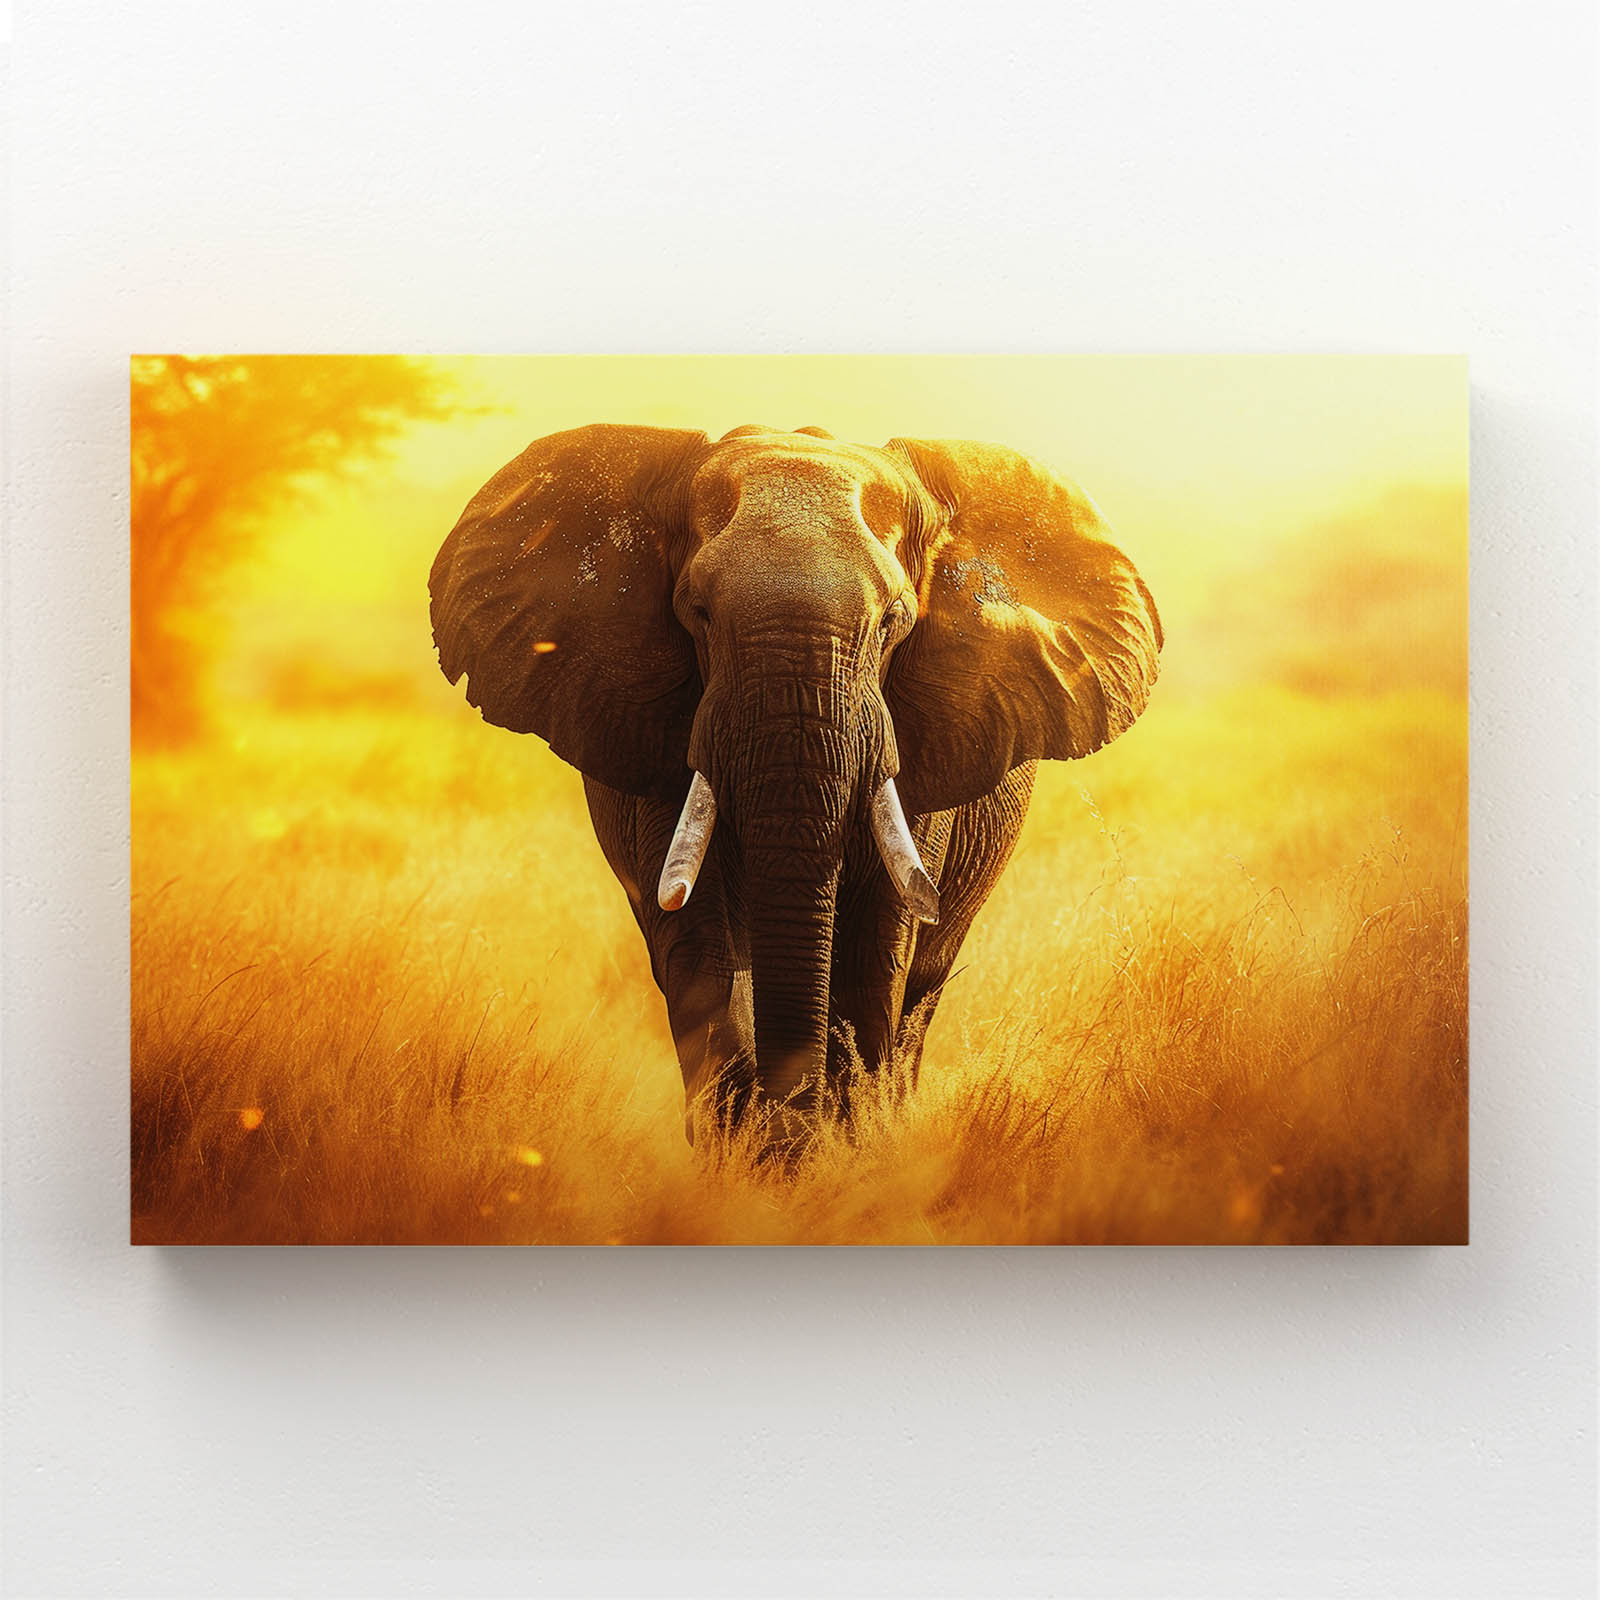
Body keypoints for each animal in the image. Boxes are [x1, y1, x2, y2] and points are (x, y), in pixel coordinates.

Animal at [429, 422, 1161, 1150]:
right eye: (697, 611)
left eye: (894, 620)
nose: (789, 1132)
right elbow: (697, 946)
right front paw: (746, 1160)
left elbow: (877, 946)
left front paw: (835, 1153)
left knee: (920, 992)